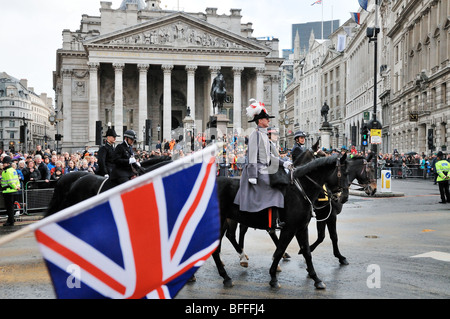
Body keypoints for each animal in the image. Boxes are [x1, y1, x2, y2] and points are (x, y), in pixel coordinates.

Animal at [214, 154, 348, 290]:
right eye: (345, 172)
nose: (343, 197)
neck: (300, 191)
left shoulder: (301, 228)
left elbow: (307, 252)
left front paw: (316, 279)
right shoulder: (290, 229)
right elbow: (280, 250)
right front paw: (273, 277)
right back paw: (228, 275)